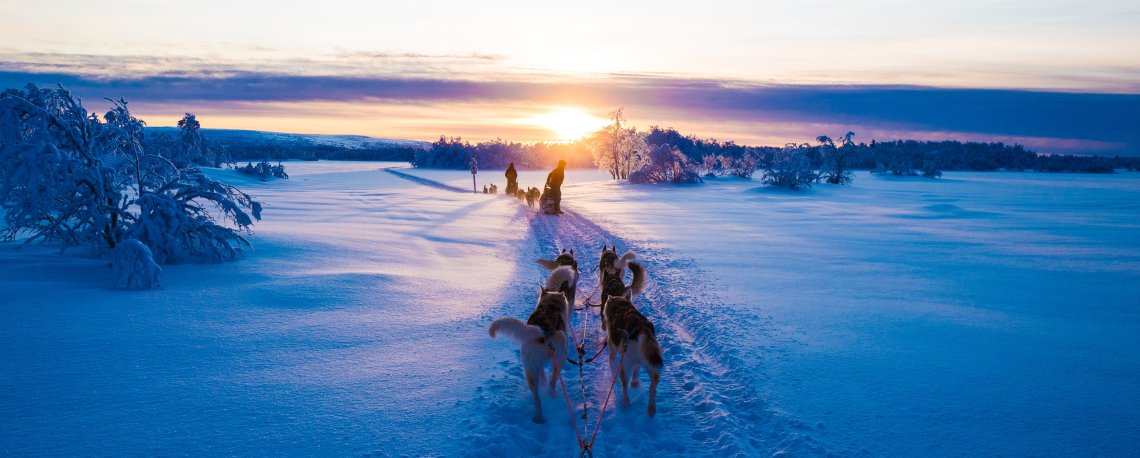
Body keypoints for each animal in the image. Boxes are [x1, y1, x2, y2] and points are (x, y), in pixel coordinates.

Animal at [488, 286, 571, 424]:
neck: (550, 306)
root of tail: (540, 330)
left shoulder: (539, 365)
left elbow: (543, 375)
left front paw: (543, 383)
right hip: (561, 351)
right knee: (553, 380)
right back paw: (552, 395)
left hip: (530, 369)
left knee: (537, 399)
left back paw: (538, 417)